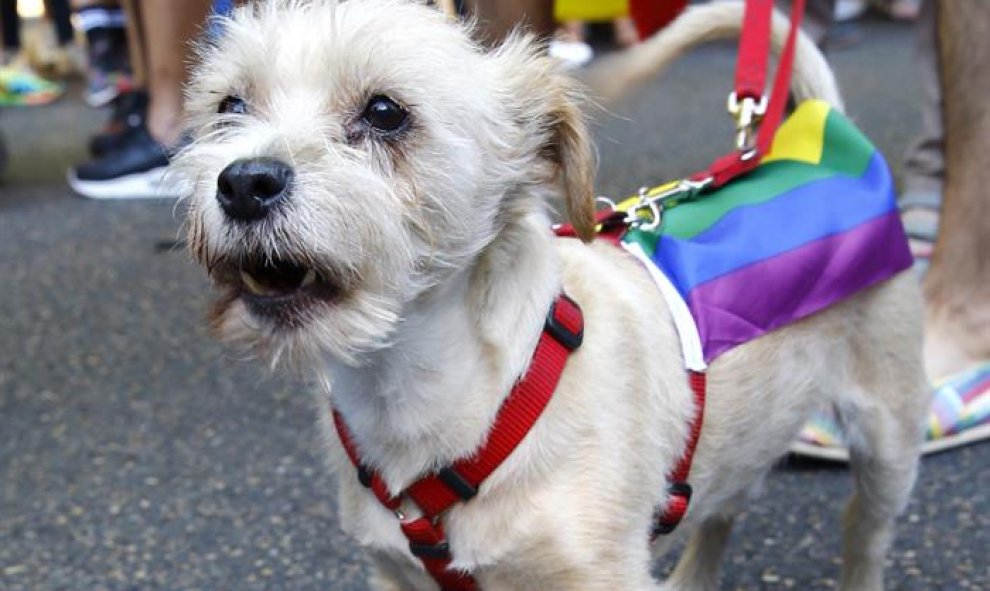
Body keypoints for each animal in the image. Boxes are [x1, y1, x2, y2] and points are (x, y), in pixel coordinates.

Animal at [176, 2, 928, 588]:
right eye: (229, 106)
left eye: (385, 112)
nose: (243, 182)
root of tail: (824, 135)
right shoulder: (397, 574)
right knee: (725, 504)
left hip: (889, 439)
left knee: (864, 534)